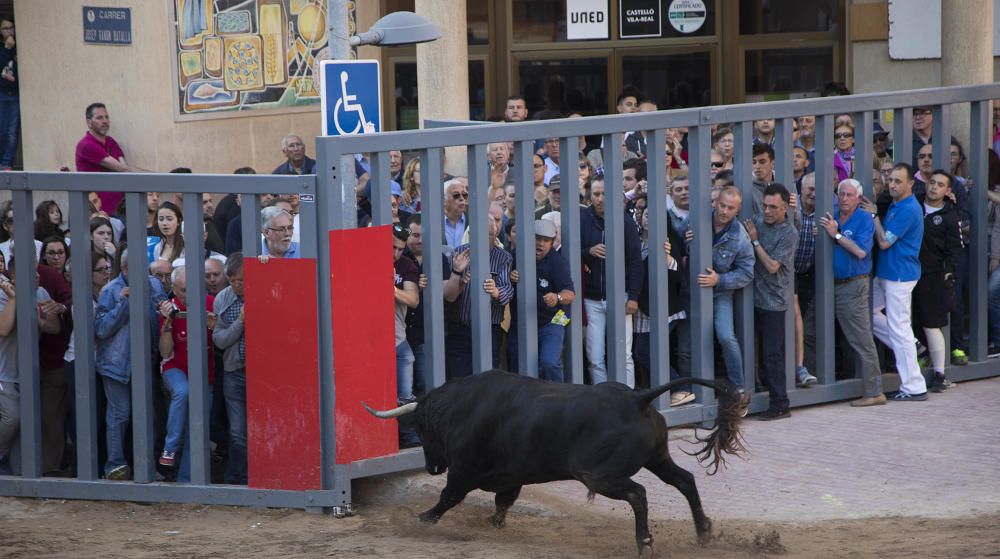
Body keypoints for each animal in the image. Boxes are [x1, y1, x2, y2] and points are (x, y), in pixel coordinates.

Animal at [364, 370, 748, 556]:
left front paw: (418, 520)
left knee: (638, 494)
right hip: (658, 458)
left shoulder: (463, 470)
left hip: (596, 474)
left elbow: (448, 498)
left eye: (421, 428)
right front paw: (492, 524)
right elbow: (503, 503)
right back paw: (703, 531)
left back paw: (645, 543)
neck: (462, 405)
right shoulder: (511, 477)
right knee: (685, 481)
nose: (431, 468)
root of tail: (637, 398)